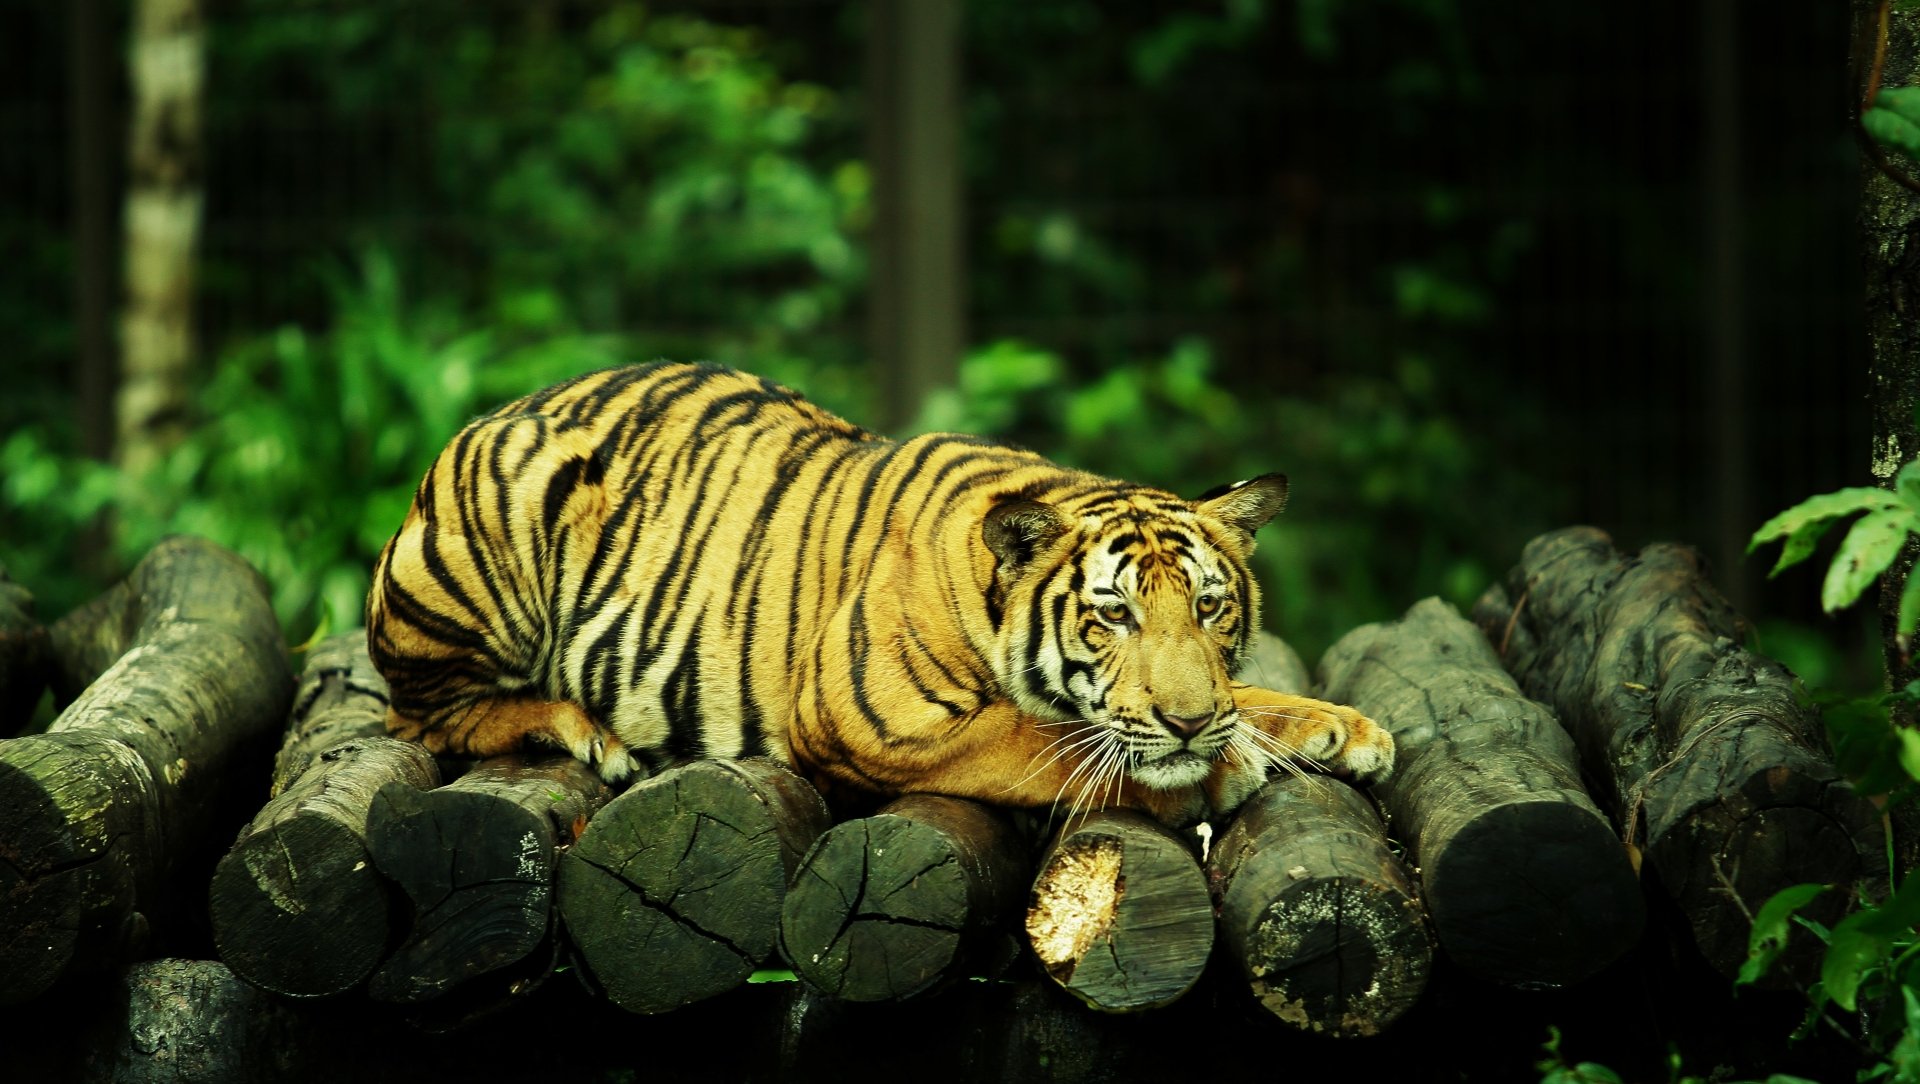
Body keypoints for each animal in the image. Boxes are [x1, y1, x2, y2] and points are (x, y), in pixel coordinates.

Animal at [365, 362, 1393, 826]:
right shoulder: (875, 719)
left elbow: (1239, 697)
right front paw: (1217, 768)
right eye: (1113, 616)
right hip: (488, 531)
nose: (1186, 724)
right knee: (423, 715)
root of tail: (512, 405)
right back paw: (576, 729)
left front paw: (1336, 727)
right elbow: (1044, 743)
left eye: (1210, 608)